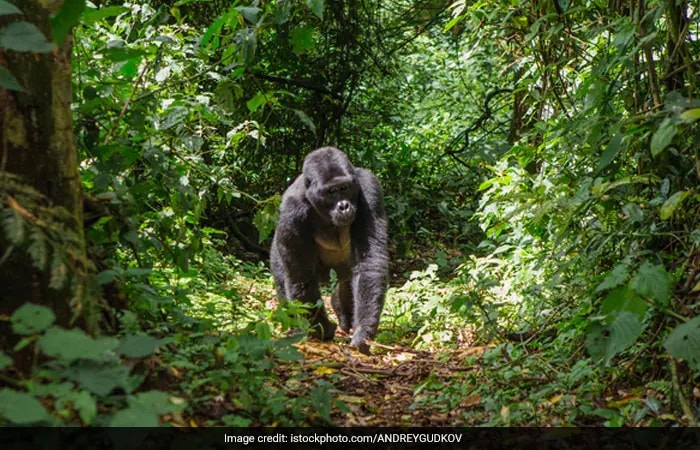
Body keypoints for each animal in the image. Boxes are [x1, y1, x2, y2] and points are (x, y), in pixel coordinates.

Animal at [270, 146, 388, 354]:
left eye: (345, 188)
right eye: (331, 192)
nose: (344, 206)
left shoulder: (369, 187)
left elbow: (369, 262)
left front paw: (363, 331)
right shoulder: (291, 211)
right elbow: (301, 277)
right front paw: (322, 329)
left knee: (347, 283)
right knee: (284, 279)